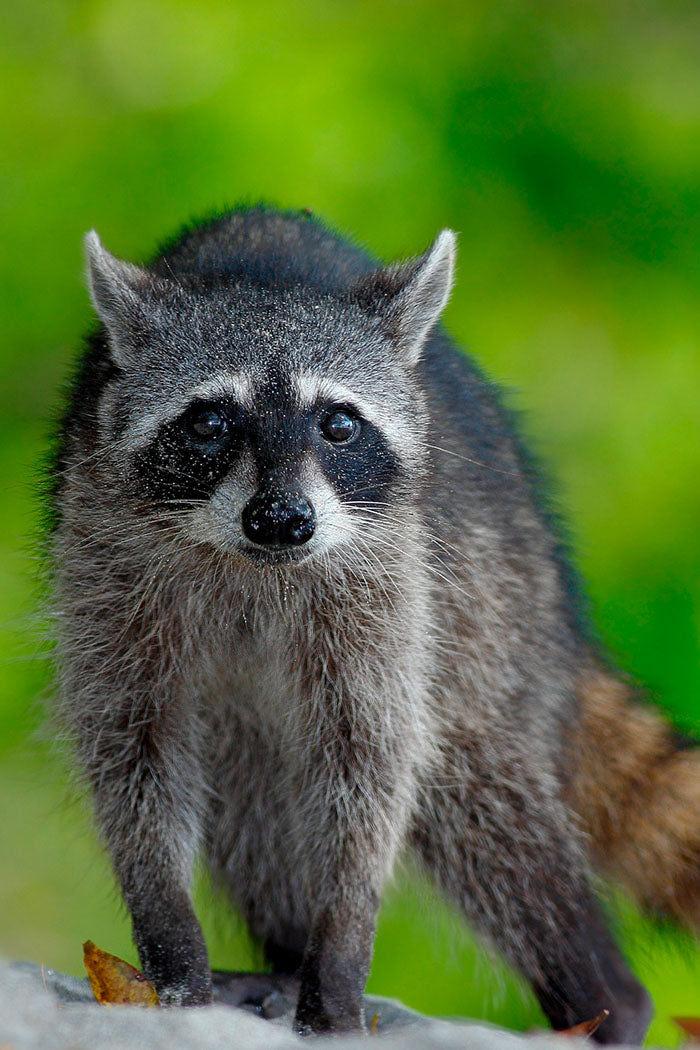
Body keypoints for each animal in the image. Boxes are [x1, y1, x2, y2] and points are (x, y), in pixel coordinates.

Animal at [46, 204, 696, 1041]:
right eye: (210, 422)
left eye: (339, 424)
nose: (282, 520)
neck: (259, 566)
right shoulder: (103, 553)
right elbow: (135, 743)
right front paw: (170, 942)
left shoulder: (388, 577)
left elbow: (372, 757)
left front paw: (341, 950)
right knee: (251, 794)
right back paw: (285, 960)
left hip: (489, 604)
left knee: (479, 796)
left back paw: (602, 997)